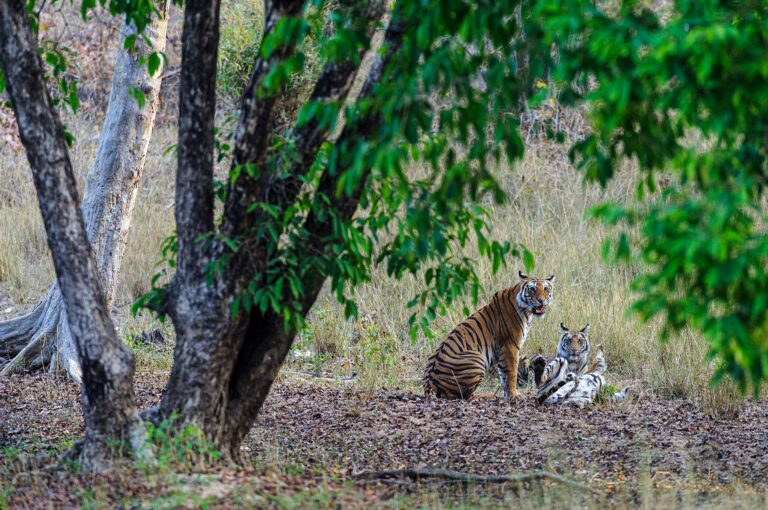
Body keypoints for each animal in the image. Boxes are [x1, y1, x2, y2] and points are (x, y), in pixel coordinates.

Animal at [424, 272, 556, 400]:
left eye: (546, 289)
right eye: (532, 289)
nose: (541, 300)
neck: (527, 312)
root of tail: (429, 386)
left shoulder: (502, 350)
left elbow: (504, 375)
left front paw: (508, 395)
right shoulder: (510, 346)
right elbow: (511, 372)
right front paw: (515, 395)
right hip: (476, 360)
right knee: (464, 395)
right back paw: (487, 395)